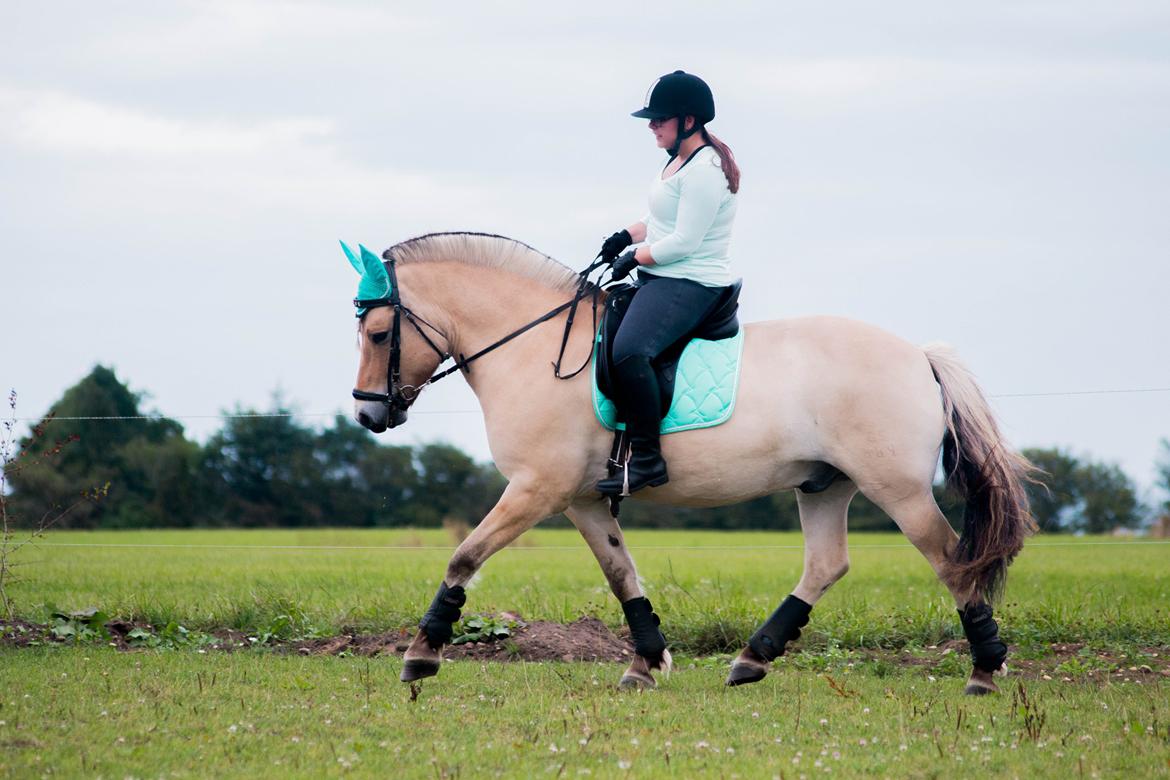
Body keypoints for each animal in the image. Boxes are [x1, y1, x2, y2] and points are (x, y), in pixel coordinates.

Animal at [343, 231, 1034, 696]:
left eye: (377, 334)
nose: (369, 415)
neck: (533, 347)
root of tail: (920, 355)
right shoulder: (583, 499)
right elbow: (621, 574)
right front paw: (646, 663)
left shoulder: (538, 488)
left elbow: (464, 556)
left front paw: (421, 654)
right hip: (825, 485)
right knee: (827, 564)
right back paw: (753, 657)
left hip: (899, 490)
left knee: (951, 562)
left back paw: (985, 670)